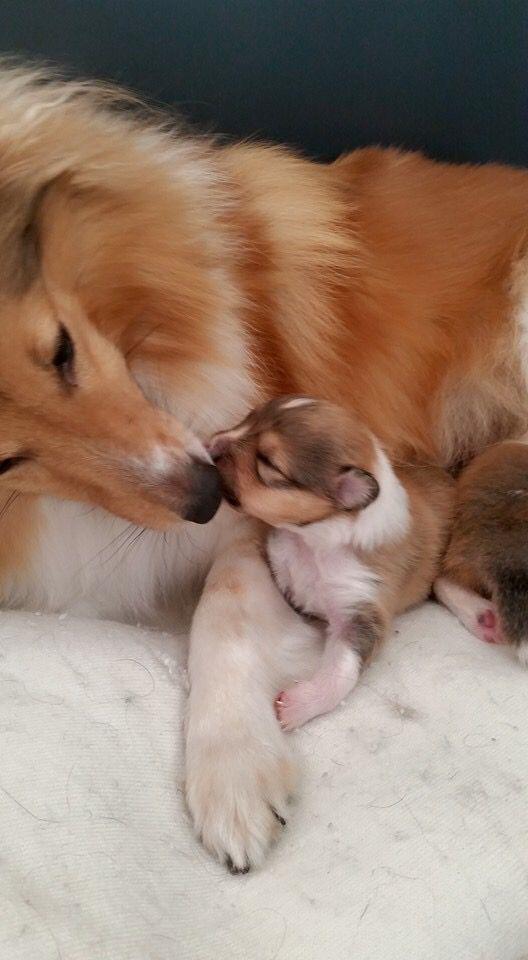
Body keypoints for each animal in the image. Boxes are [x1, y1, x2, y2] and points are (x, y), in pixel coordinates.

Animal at [210, 398, 454, 728]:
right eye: (249, 417)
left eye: (268, 463)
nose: (210, 445)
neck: (312, 543)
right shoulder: (280, 562)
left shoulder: (360, 610)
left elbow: (342, 671)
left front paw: (297, 706)